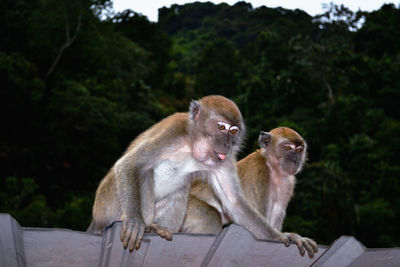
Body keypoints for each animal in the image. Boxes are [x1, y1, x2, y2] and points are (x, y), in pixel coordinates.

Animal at [89, 97, 290, 253]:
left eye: (233, 131)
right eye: (221, 127)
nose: (227, 144)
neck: (193, 144)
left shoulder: (224, 159)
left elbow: (234, 202)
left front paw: (280, 237)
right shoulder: (174, 131)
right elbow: (130, 164)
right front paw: (134, 221)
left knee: (181, 189)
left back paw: (161, 228)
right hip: (107, 204)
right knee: (145, 172)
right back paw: (144, 224)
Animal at [180, 129, 318, 258]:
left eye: (299, 149)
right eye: (288, 148)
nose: (295, 160)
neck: (273, 169)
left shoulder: (288, 183)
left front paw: (293, 236)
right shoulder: (259, 170)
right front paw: (283, 237)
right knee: (210, 216)